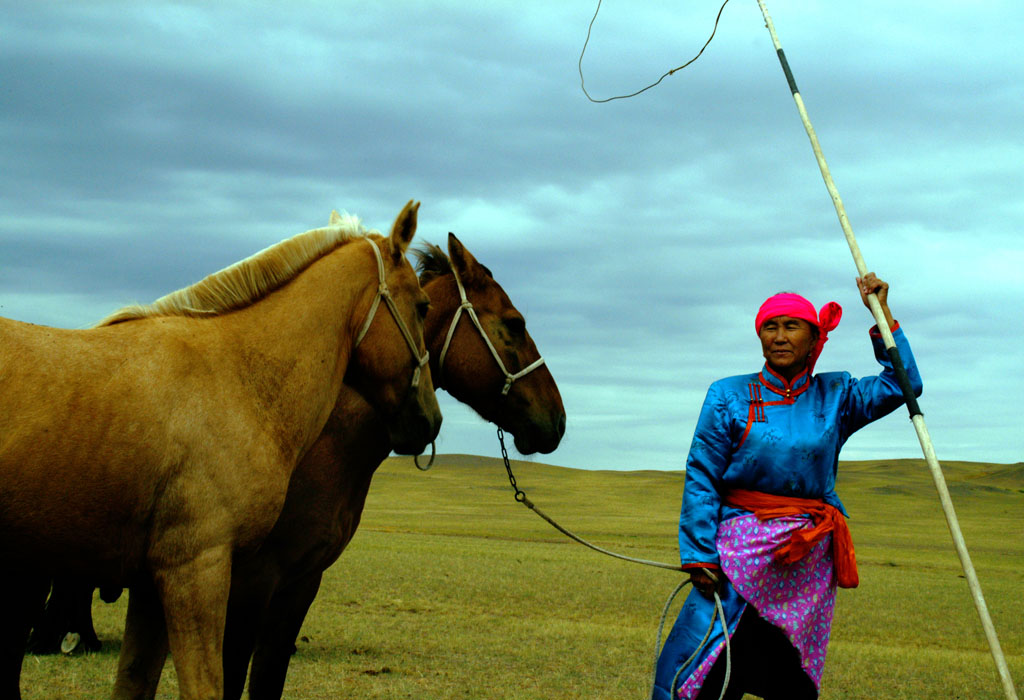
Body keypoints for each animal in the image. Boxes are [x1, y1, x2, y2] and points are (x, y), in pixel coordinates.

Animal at [0, 199, 440, 695]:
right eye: (422, 306)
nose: (430, 420)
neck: (237, 376)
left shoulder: (152, 585)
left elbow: (134, 681)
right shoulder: (197, 569)